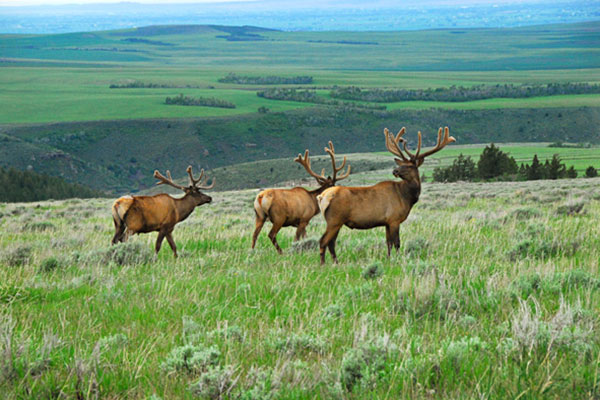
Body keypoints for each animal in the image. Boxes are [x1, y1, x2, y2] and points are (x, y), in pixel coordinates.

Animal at [318, 127, 454, 262]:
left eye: (410, 166)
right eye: (401, 164)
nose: (395, 170)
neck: (406, 197)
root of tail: (322, 197)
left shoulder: (387, 222)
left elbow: (388, 243)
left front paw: (388, 259)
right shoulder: (394, 219)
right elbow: (397, 243)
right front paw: (398, 260)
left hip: (336, 222)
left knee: (331, 242)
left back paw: (335, 262)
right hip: (335, 220)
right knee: (323, 241)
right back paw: (323, 264)